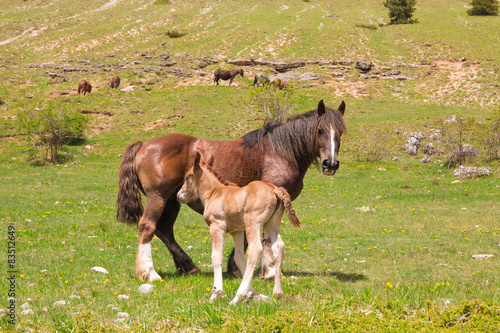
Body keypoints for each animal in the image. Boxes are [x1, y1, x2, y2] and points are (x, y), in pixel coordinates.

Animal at [116, 98, 346, 280]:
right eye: (320, 130)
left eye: (340, 133)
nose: (331, 164)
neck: (279, 152)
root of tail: (144, 144)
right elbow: (264, 237)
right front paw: (267, 270)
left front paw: (236, 267)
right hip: (158, 197)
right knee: (148, 226)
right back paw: (150, 273)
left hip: (173, 200)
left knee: (164, 230)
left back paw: (188, 267)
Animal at [177, 153, 300, 304]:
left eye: (187, 176)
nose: (179, 195)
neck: (215, 193)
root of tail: (274, 189)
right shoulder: (236, 231)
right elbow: (239, 258)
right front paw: (254, 293)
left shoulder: (217, 226)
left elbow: (216, 256)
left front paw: (216, 293)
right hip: (271, 224)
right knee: (278, 247)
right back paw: (277, 292)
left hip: (253, 223)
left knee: (255, 248)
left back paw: (237, 297)